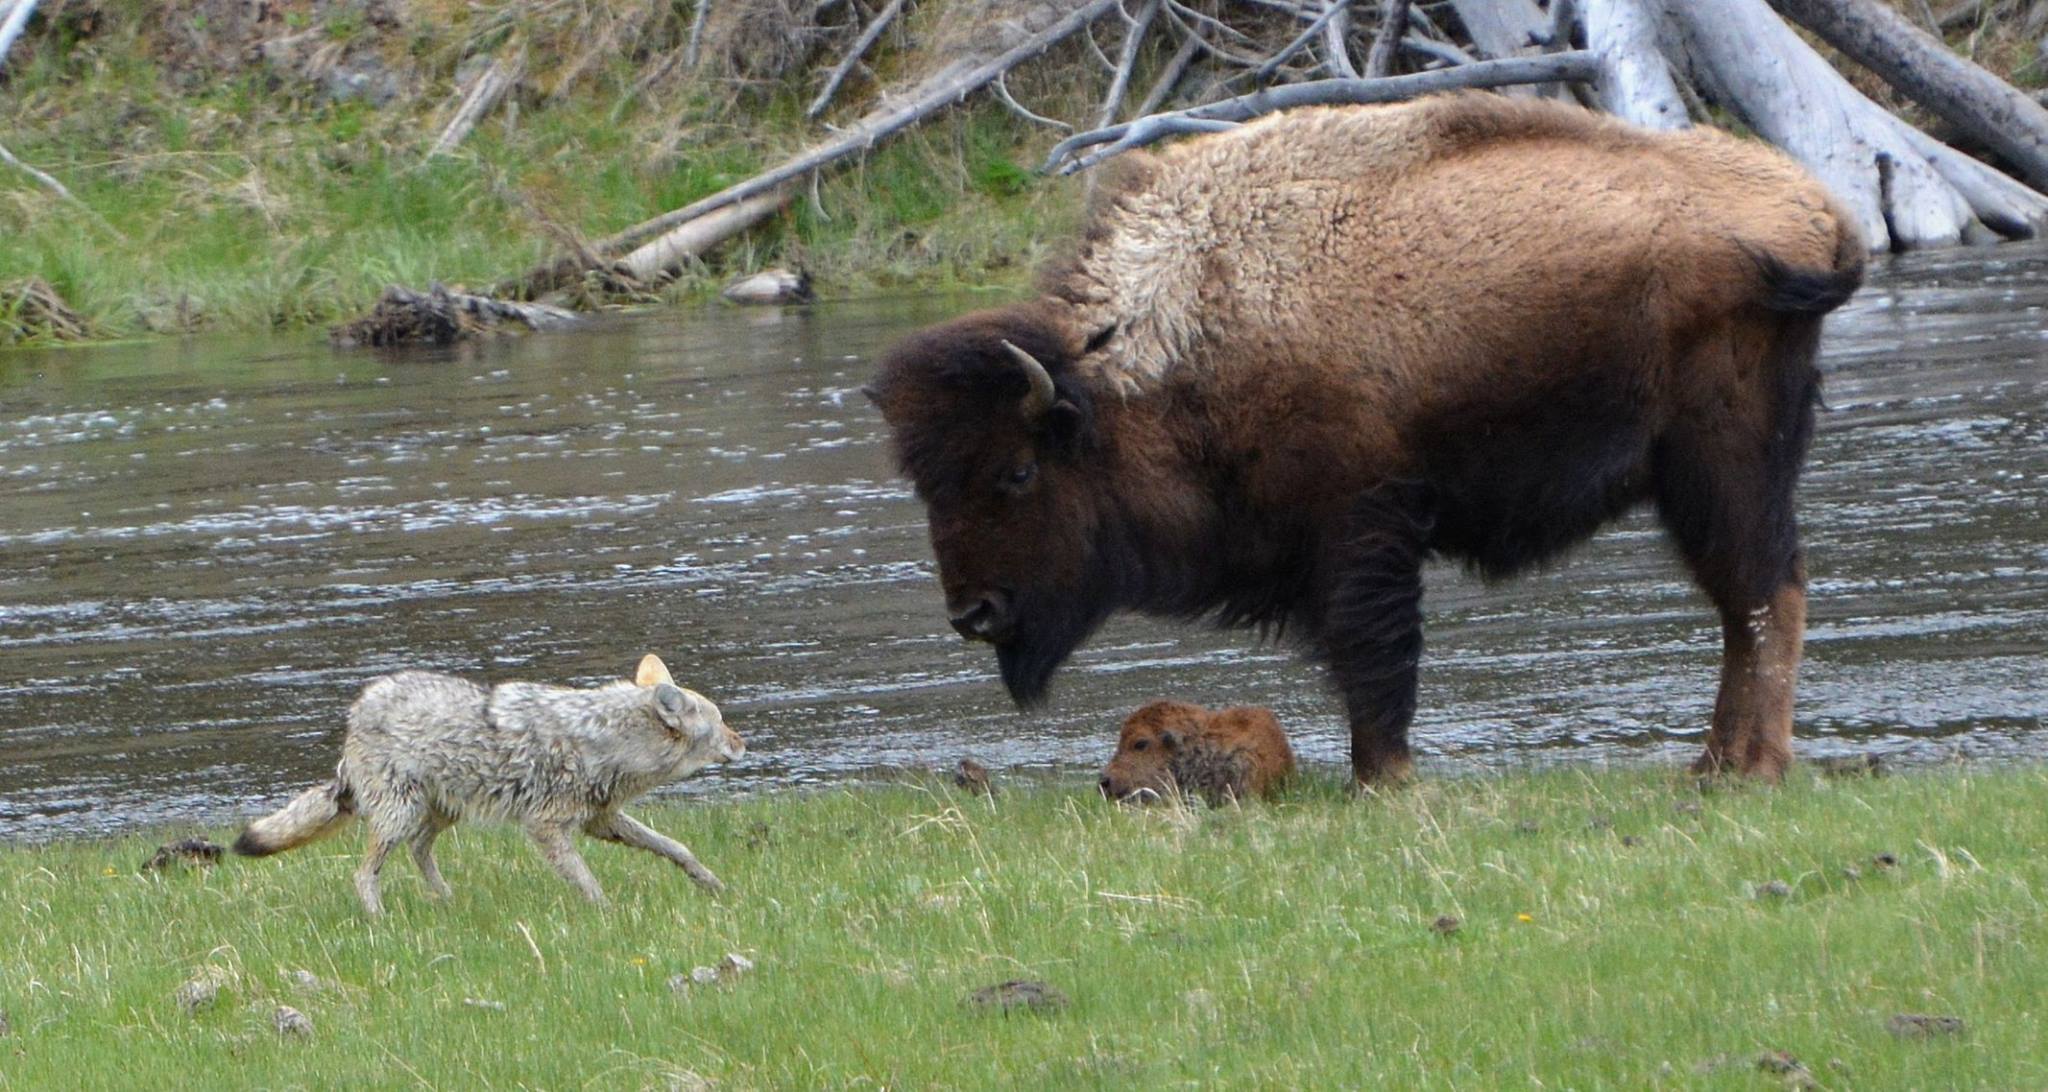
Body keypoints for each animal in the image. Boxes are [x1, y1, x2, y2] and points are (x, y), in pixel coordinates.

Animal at [872, 89, 1867, 778]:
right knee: (1749, 601)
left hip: (1721, 460)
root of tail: (1815, 212)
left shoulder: (1360, 530)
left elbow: (1373, 660)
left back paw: (1748, 769)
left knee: (1762, 593)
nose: (972, 614)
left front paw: (1380, 779)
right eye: (928, 483)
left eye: (1016, 472)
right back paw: (1713, 764)